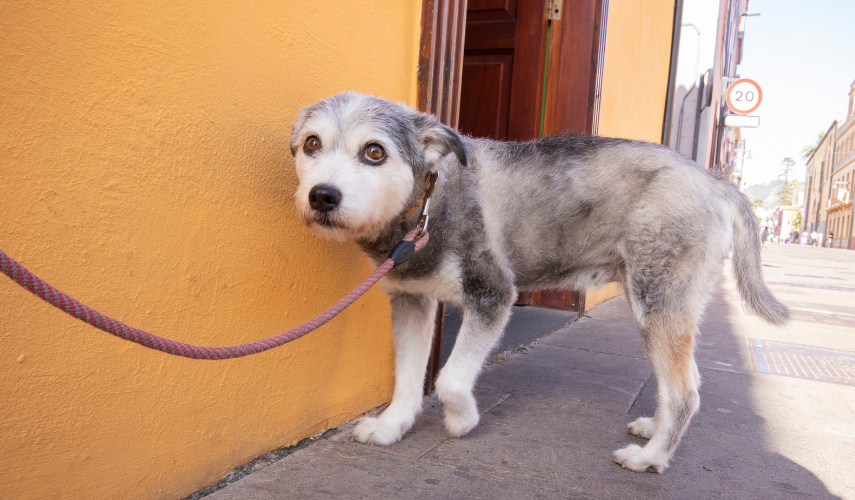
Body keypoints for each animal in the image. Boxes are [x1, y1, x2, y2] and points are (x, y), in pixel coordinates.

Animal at [290, 91, 788, 472]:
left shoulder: (492, 296)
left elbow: (449, 379)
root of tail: (713, 179)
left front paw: (462, 421)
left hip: (659, 305)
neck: (428, 206)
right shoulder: (411, 301)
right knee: (680, 384)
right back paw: (653, 430)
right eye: (311, 144)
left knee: (686, 392)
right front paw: (392, 426)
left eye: (374, 152)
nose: (323, 196)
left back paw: (649, 458)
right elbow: (409, 379)